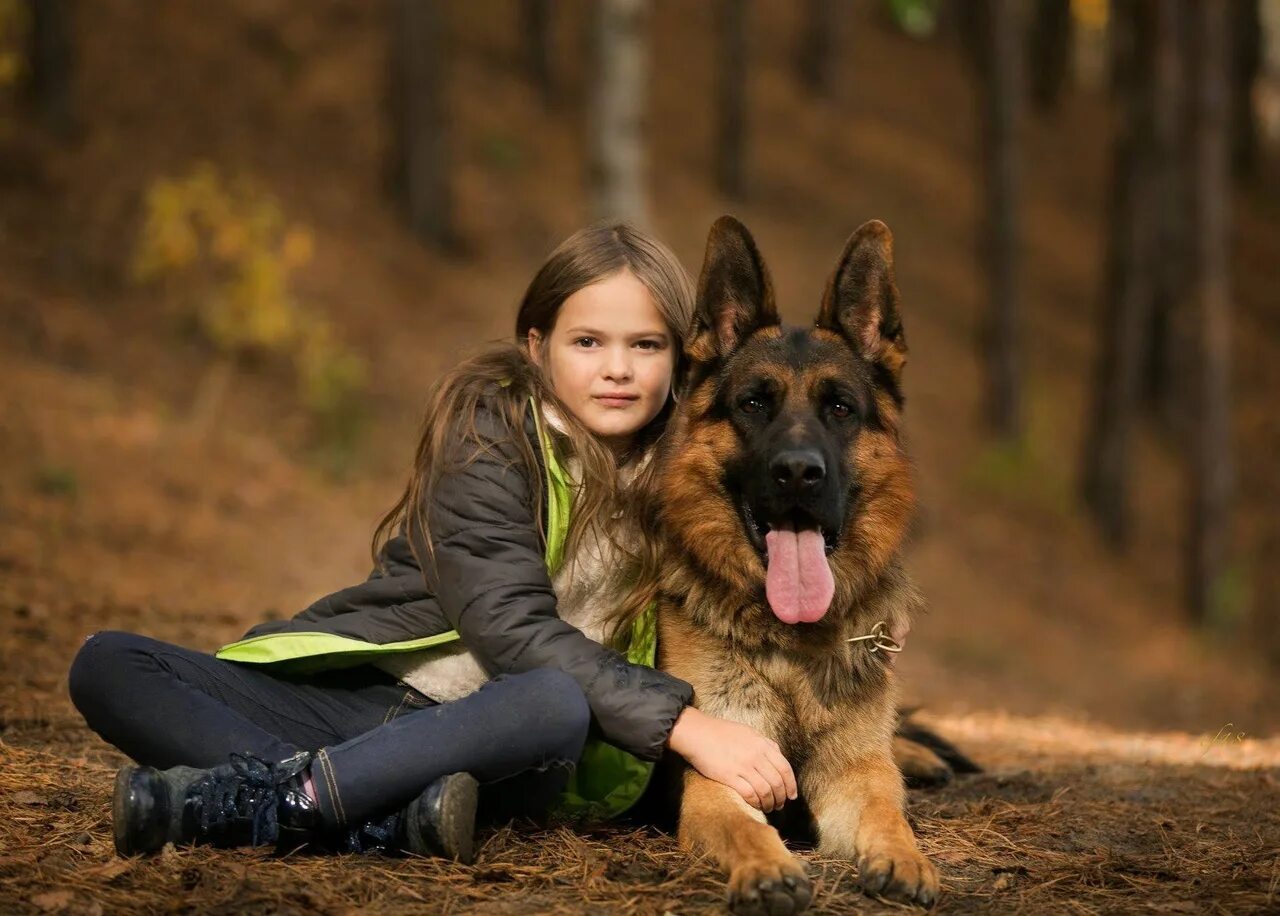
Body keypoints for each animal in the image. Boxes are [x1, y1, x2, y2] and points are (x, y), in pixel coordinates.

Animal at [655, 218, 957, 910]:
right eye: (753, 404)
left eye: (840, 408)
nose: (798, 472)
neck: (790, 646)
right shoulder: (722, 775)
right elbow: (743, 828)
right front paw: (767, 869)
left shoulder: (855, 774)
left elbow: (887, 811)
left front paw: (906, 859)